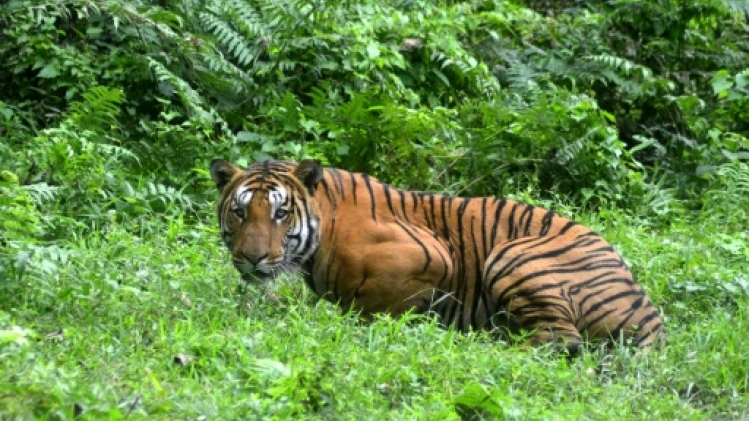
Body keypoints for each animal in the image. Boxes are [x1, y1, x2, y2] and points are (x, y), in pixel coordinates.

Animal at [209, 158, 665, 354]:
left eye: (281, 213)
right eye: (240, 211)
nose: (252, 258)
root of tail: (650, 315)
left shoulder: (432, 255)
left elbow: (373, 307)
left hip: (512, 254)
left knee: (560, 340)